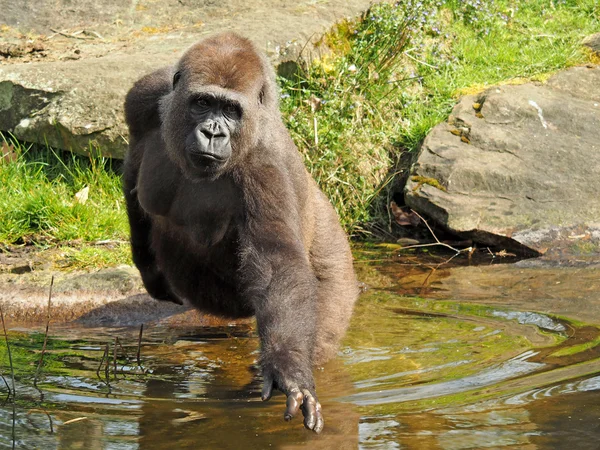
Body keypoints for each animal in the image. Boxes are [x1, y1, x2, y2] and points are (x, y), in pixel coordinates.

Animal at [122, 31, 356, 432]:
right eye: (203, 103)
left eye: (231, 111)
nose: (212, 132)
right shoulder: (144, 98)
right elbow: (133, 180)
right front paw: (148, 269)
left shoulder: (265, 163)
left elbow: (277, 264)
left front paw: (288, 370)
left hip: (336, 269)